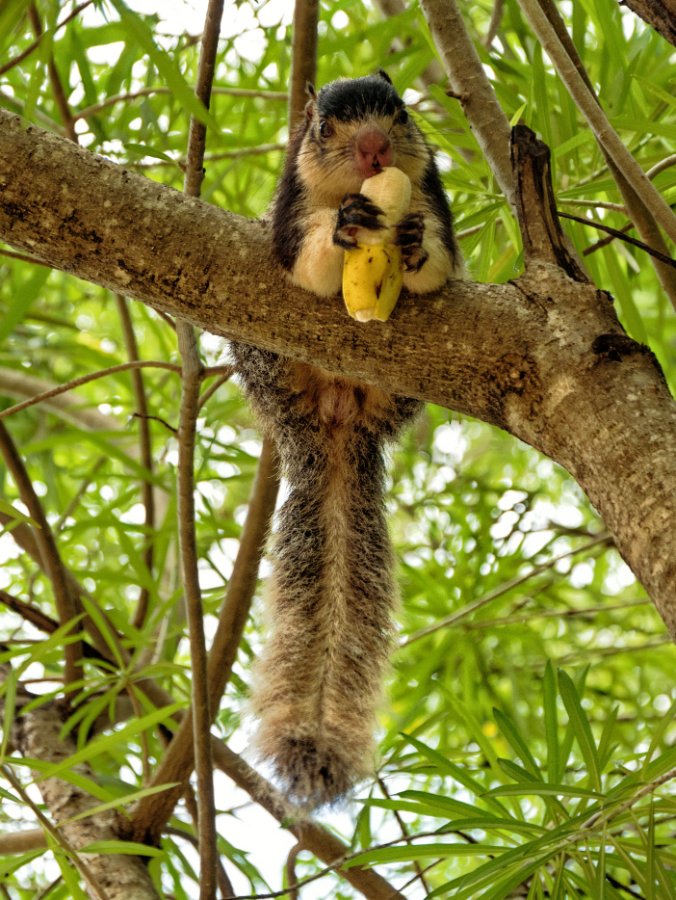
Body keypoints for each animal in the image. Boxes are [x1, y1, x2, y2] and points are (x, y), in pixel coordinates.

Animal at [230, 71, 463, 809]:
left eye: (399, 112)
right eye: (323, 127)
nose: (373, 148)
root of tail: (333, 420)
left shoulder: (436, 198)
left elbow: (437, 268)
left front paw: (412, 243)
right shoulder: (290, 212)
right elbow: (305, 268)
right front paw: (341, 233)